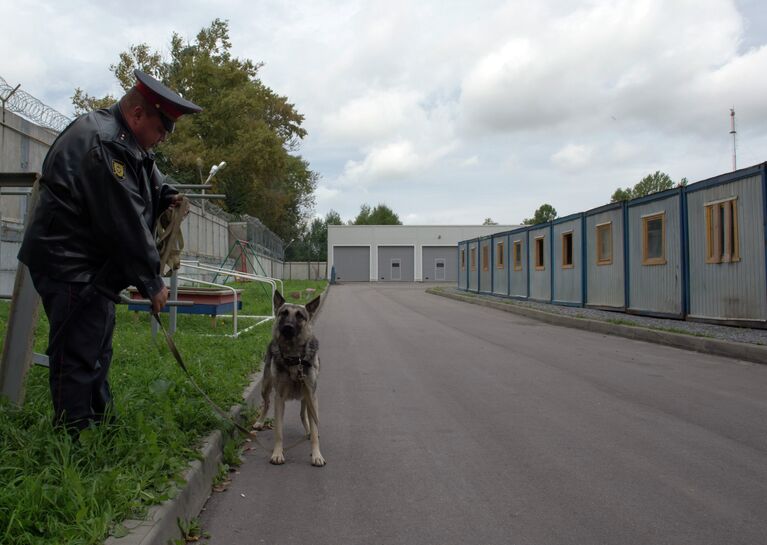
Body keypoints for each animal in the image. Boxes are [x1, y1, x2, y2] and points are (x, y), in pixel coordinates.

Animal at [252, 292, 324, 466]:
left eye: (300, 316)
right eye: (283, 313)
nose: (288, 328)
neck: (294, 358)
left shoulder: (312, 395)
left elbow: (314, 429)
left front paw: (317, 454)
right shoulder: (279, 398)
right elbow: (278, 431)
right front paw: (277, 453)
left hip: (306, 396)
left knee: (303, 415)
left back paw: (308, 430)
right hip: (266, 387)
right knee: (266, 404)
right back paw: (260, 421)